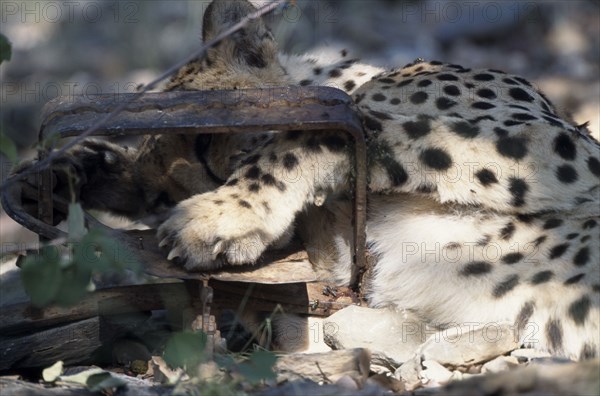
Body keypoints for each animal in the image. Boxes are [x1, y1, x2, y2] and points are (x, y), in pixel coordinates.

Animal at [25, 0, 596, 358]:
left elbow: (318, 134)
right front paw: (66, 176)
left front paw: (224, 213)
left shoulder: (563, 150)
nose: (200, 190)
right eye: (163, 194)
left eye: (206, 142)